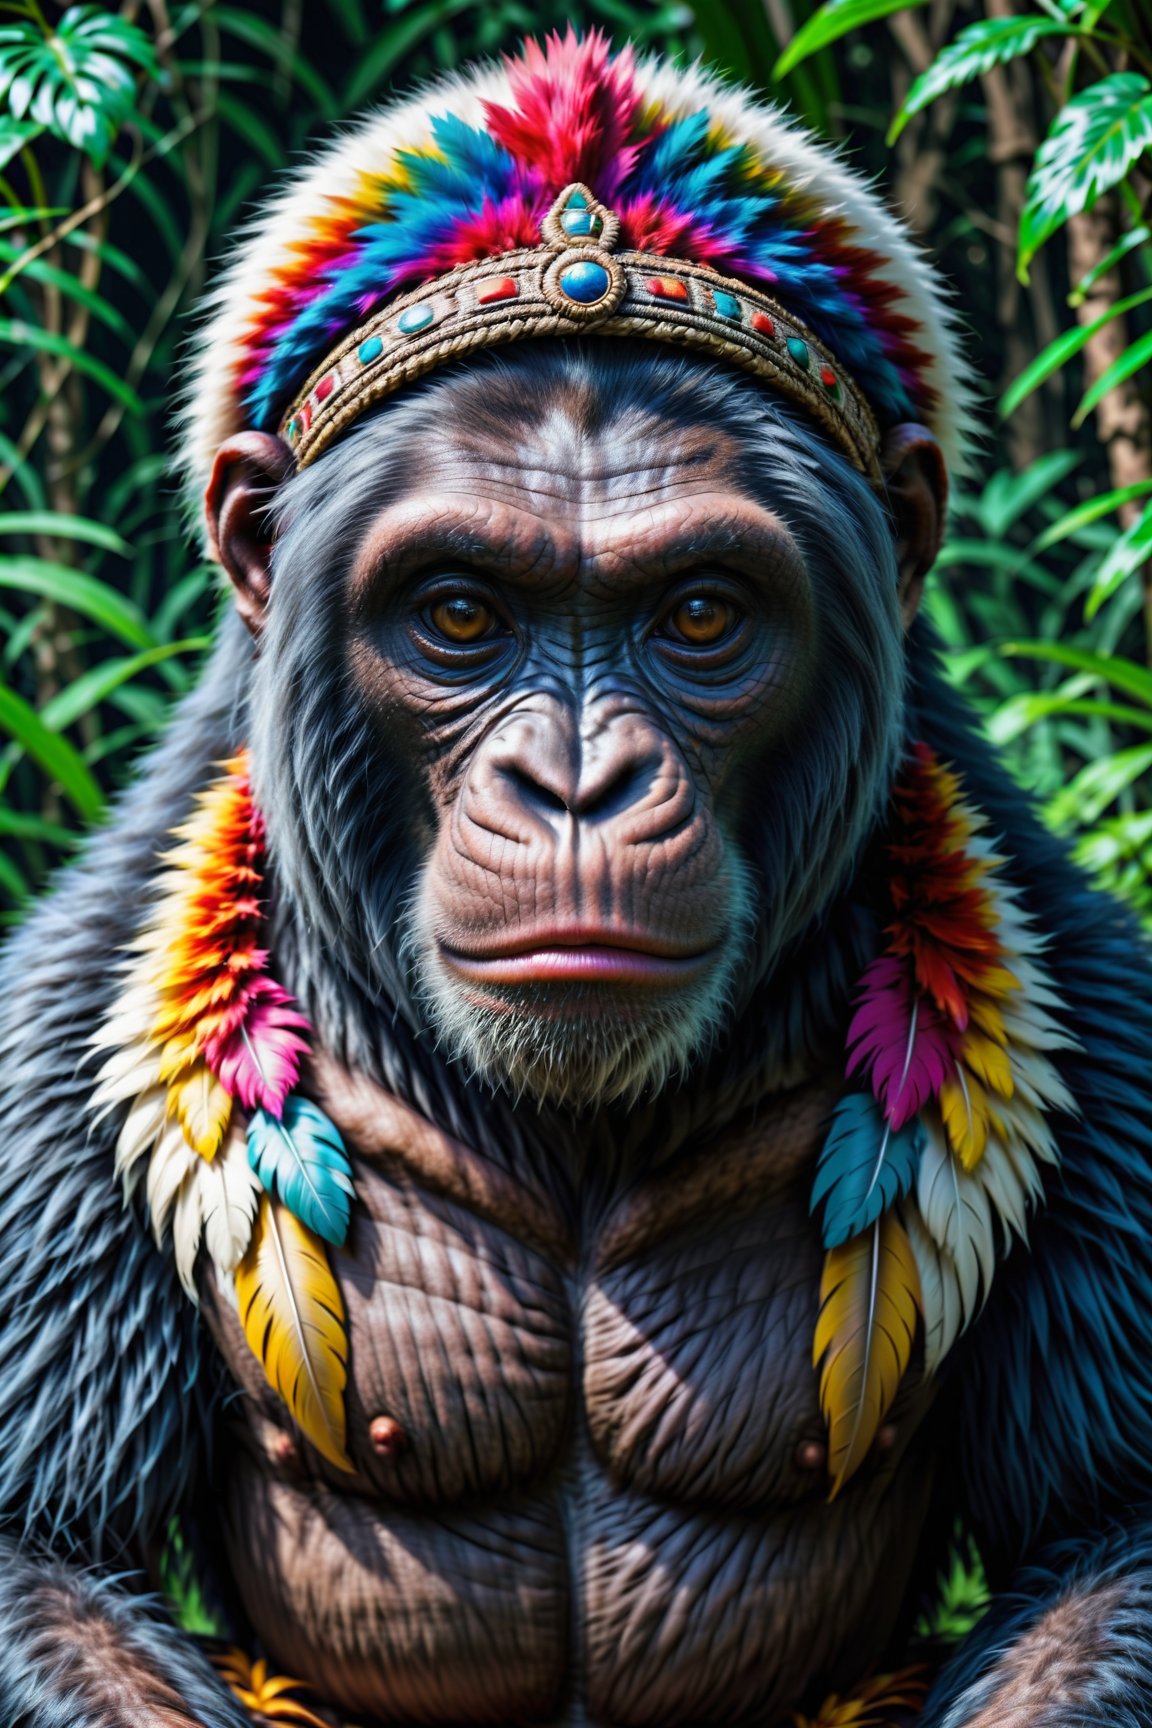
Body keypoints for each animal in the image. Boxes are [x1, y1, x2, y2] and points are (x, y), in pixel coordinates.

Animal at [2, 33, 1152, 1728]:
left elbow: (1107, 1534)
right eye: (460, 616)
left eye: (701, 615)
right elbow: (44, 1548)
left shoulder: (1104, 1021)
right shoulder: (49, 1033)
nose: (577, 782)